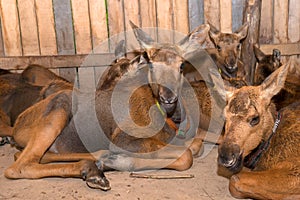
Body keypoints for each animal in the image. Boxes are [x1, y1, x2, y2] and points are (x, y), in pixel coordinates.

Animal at [0, 21, 225, 191]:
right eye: (151, 64)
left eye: (181, 65)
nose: (168, 96)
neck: (170, 120)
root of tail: (17, 128)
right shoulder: (124, 139)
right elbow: (186, 156)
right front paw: (122, 161)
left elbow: (195, 146)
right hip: (60, 104)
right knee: (18, 166)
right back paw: (96, 168)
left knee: (30, 155)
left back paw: (95, 166)